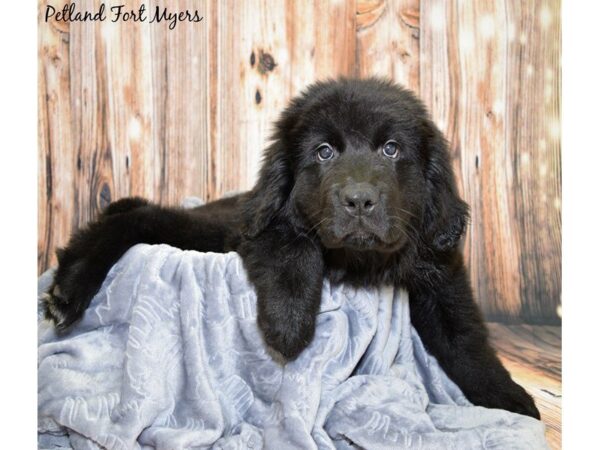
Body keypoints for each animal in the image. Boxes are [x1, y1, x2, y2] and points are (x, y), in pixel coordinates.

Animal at [42, 77, 540, 418]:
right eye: (324, 152)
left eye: (391, 149)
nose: (359, 200)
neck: (359, 260)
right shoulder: (261, 229)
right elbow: (293, 248)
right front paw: (288, 325)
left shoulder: (439, 273)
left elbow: (466, 340)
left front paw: (509, 400)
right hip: (209, 229)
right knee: (140, 219)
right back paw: (69, 288)